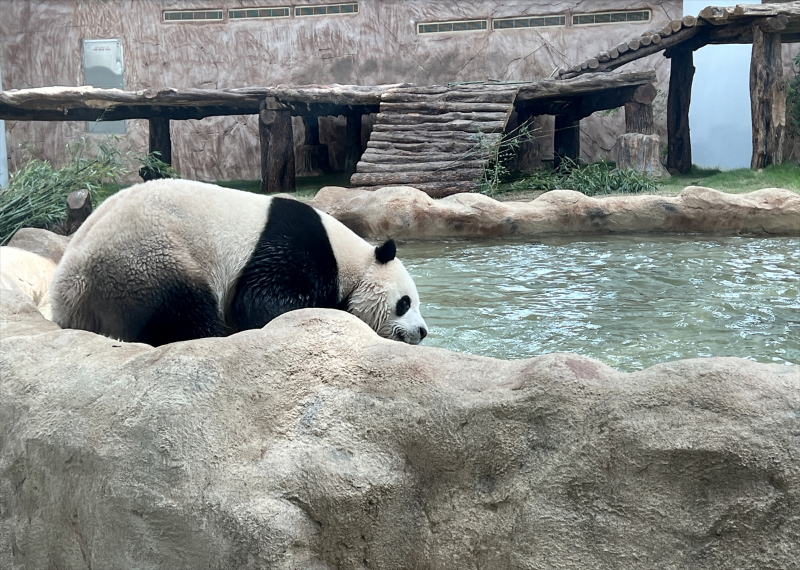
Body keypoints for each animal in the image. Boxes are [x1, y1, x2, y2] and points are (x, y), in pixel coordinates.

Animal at [50, 179, 428, 347]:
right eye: (404, 303)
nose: (423, 331)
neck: (349, 257)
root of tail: (70, 290)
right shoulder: (294, 249)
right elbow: (260, 301)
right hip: (146, 257)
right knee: (181, 306)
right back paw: (216, 334)